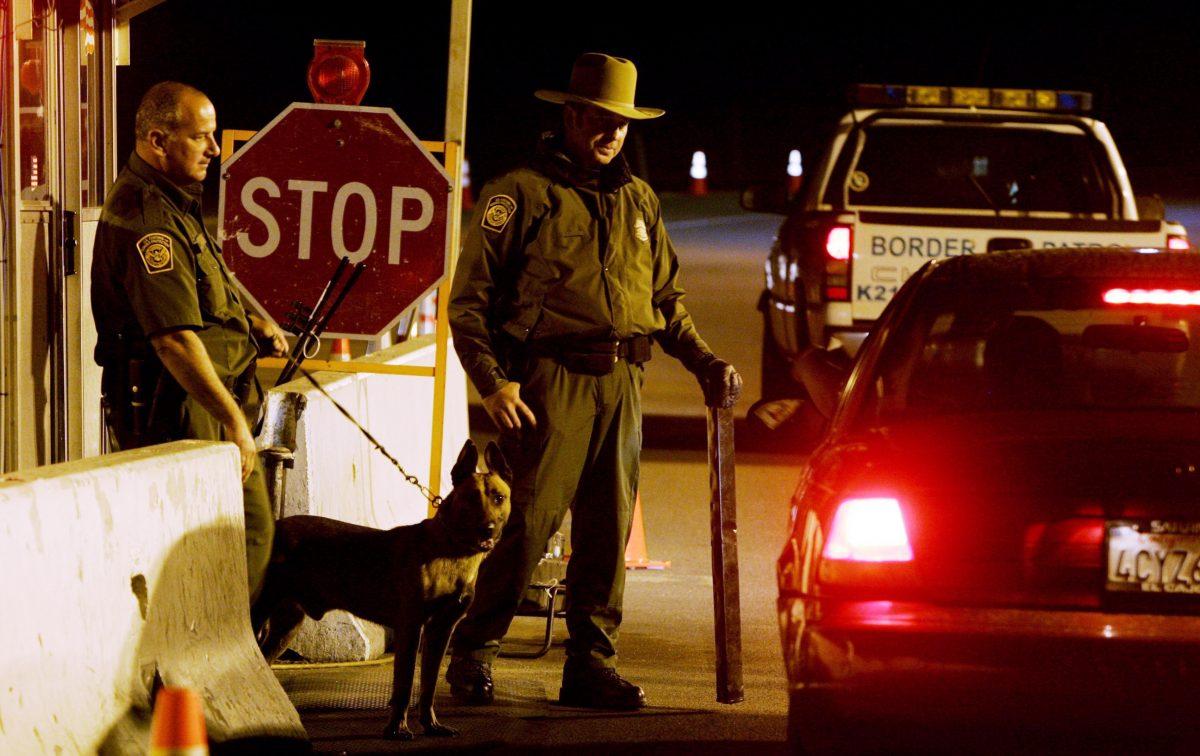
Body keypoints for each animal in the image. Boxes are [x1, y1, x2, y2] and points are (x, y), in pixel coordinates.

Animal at [253, 441, 511, 744]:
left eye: (498, 498)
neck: (452, 549)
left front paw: (431, 725)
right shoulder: (411, 627)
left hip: (286, 626)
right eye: (470, 498)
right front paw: (397, 728)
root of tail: (274, 527)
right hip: (257, 611)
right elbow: (404, 684)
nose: (488, 529)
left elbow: (429, 685)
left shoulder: (441, 631)